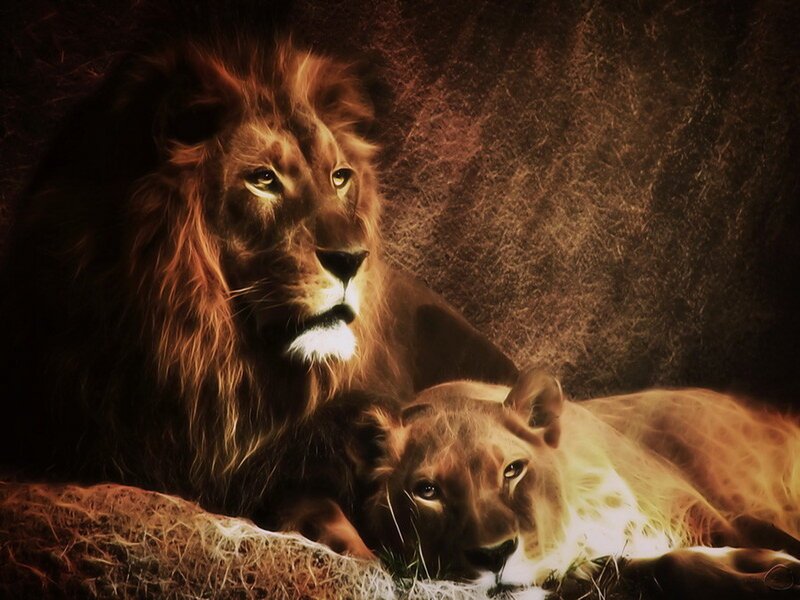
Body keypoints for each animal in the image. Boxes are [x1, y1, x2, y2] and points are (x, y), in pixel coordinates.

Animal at [362, 369, 800, 598]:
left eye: (512, 469)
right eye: (427, 491)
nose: (493, 555)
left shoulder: (710, 513)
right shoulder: (605, 566)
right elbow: (670, 563)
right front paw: (774, 573)